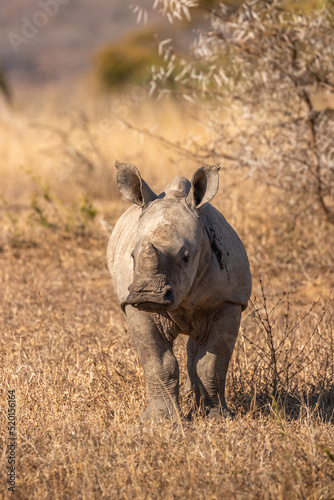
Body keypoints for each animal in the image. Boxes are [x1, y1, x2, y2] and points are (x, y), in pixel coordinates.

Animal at [108, 162, 252, 420]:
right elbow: (158, 363)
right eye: (132, 256)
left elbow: (212, 363)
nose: (148, 293)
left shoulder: (229, 300)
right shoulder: (132, 304)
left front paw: (216, 417)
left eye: (186, 257)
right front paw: (159, 420)